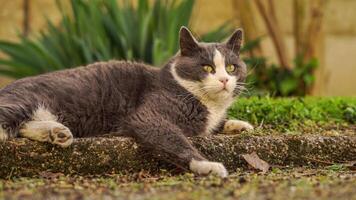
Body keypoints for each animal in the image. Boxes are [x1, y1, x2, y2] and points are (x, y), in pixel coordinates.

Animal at [0, 26, 253, 177]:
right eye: (207, 68)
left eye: (231, 67)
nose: (224, 80)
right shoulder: (148, 115)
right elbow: (174, 138)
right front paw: (208, 165)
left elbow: (216, 125)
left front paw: (239, 125)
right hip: (24, 100)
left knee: (23, 126)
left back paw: (58, 133)